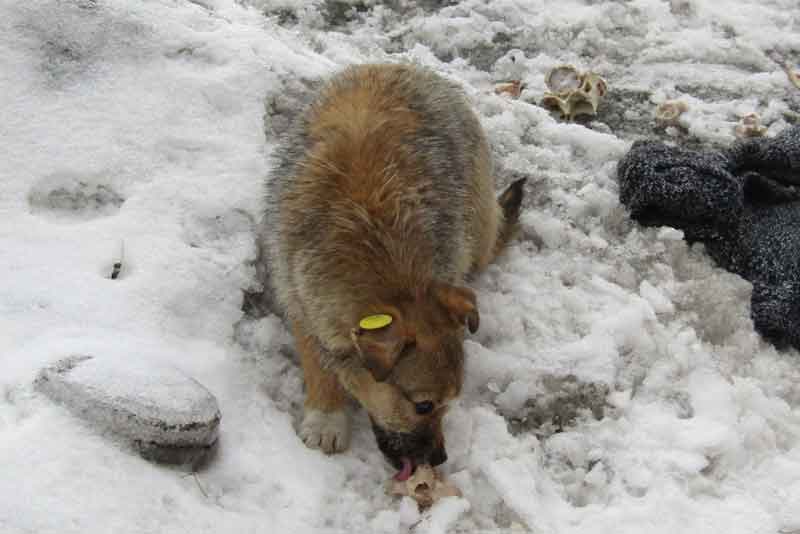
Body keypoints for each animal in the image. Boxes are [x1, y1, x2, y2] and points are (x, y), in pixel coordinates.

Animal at [260, 63, 528, 482]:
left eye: (452, 401)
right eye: (423, 406)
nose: (439, 460)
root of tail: (404, 65)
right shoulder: (299, 295)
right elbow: (317, 360)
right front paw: (326, 415)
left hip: (478, 222)